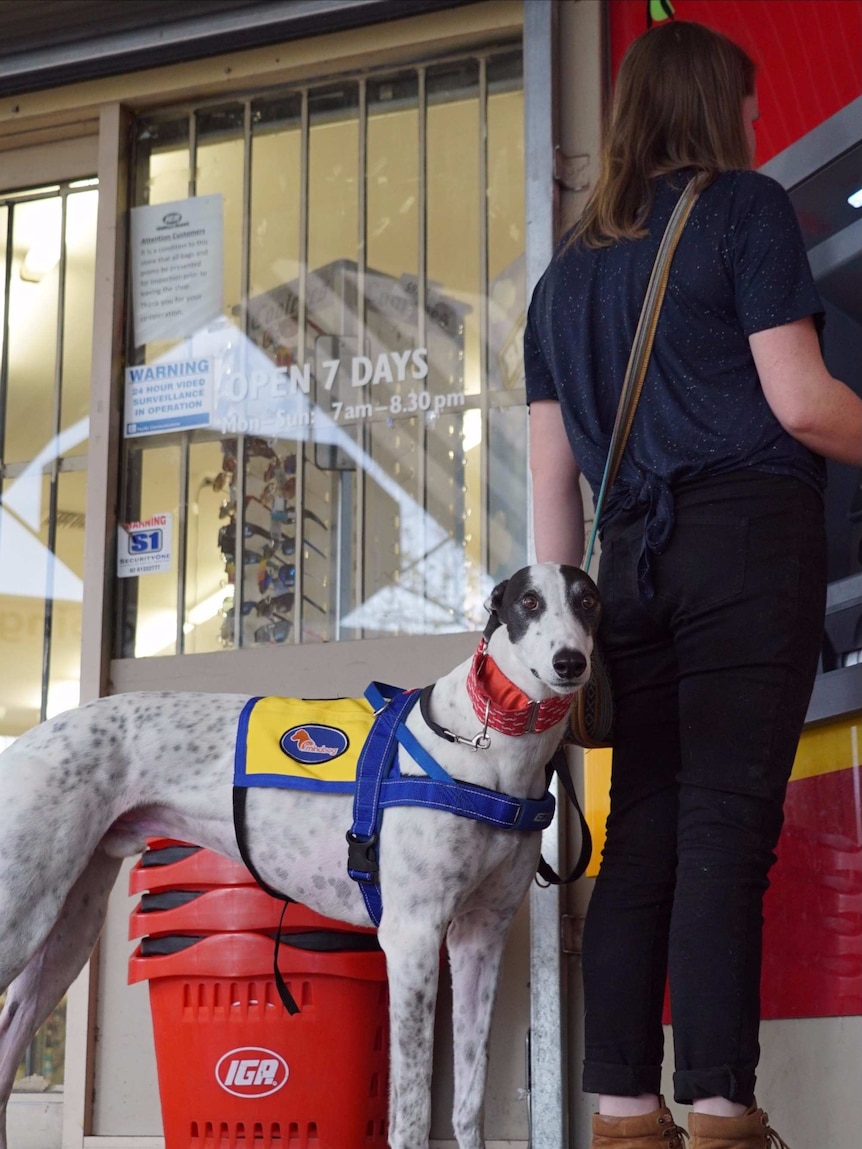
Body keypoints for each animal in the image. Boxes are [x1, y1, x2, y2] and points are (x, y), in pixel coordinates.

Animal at [0, 563, 602, 1149]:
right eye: (528, 602)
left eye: (588, 601)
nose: (570, 662)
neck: (487, 744)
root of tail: (33, 736)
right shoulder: (412, 936)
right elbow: (410, 1115)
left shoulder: (481, 937)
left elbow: (468, 1106)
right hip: (22, 915)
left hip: (69, 928)